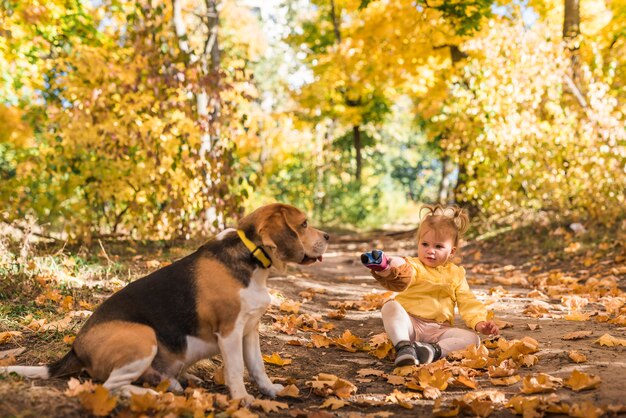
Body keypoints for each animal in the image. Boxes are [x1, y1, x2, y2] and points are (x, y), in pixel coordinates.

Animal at [1, 204, 326, 404]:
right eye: (304, 224)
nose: (327, 236)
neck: (252, 259)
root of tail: (75, 349)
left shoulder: (250, 330)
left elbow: (257, 367)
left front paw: (270, 390)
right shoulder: (230, 332)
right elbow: (236, 369)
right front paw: (242, 399)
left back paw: (171, 382)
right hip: (142, 336)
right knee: (110, 386)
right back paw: (153, 395)